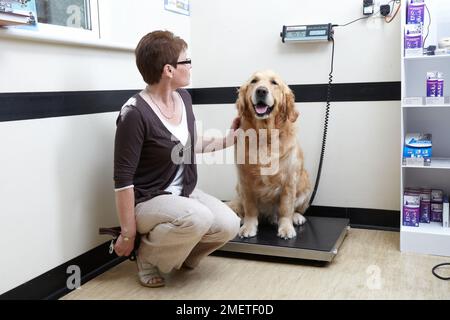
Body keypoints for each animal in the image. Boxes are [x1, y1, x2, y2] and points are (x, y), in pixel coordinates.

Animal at [230, 70, 312, 240]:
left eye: (274, 83)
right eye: (254, 81)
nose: (261, 91)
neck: (264, 134)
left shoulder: (289, 180)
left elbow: (286, 208)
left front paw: (286, 228)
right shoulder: (245, 179)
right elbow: (250, 207)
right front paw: (249, 226)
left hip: (306, 183)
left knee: (294, 209)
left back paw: (296, 217)